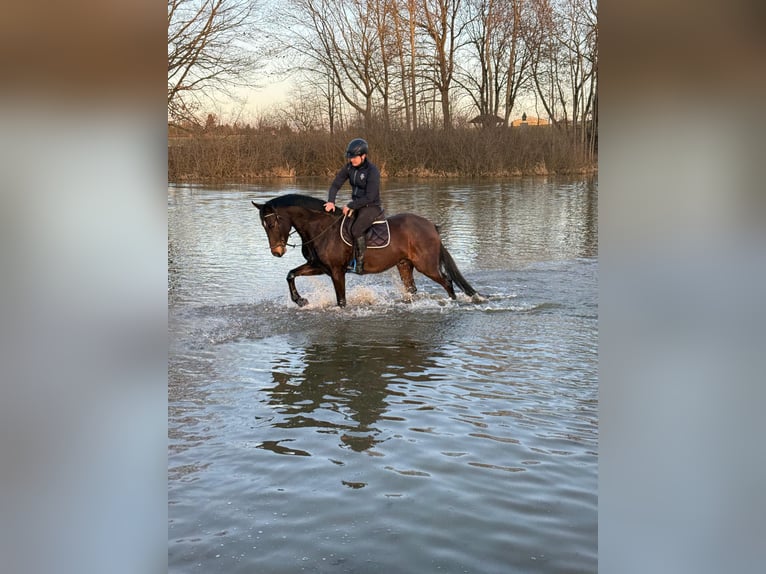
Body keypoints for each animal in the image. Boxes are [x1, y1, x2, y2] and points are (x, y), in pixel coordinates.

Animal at [251, 194, 481, 308]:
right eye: (263, 225)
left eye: (271, 224)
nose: (277, 252)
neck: (320, 228)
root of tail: (431, 225)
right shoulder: (318, 266)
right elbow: (290, 274)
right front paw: (300, 301)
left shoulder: (336, 271)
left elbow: (341, 301)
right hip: (405, 265)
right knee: (412, 289)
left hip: (427, 265)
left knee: (447, 282)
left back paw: (453, 304)